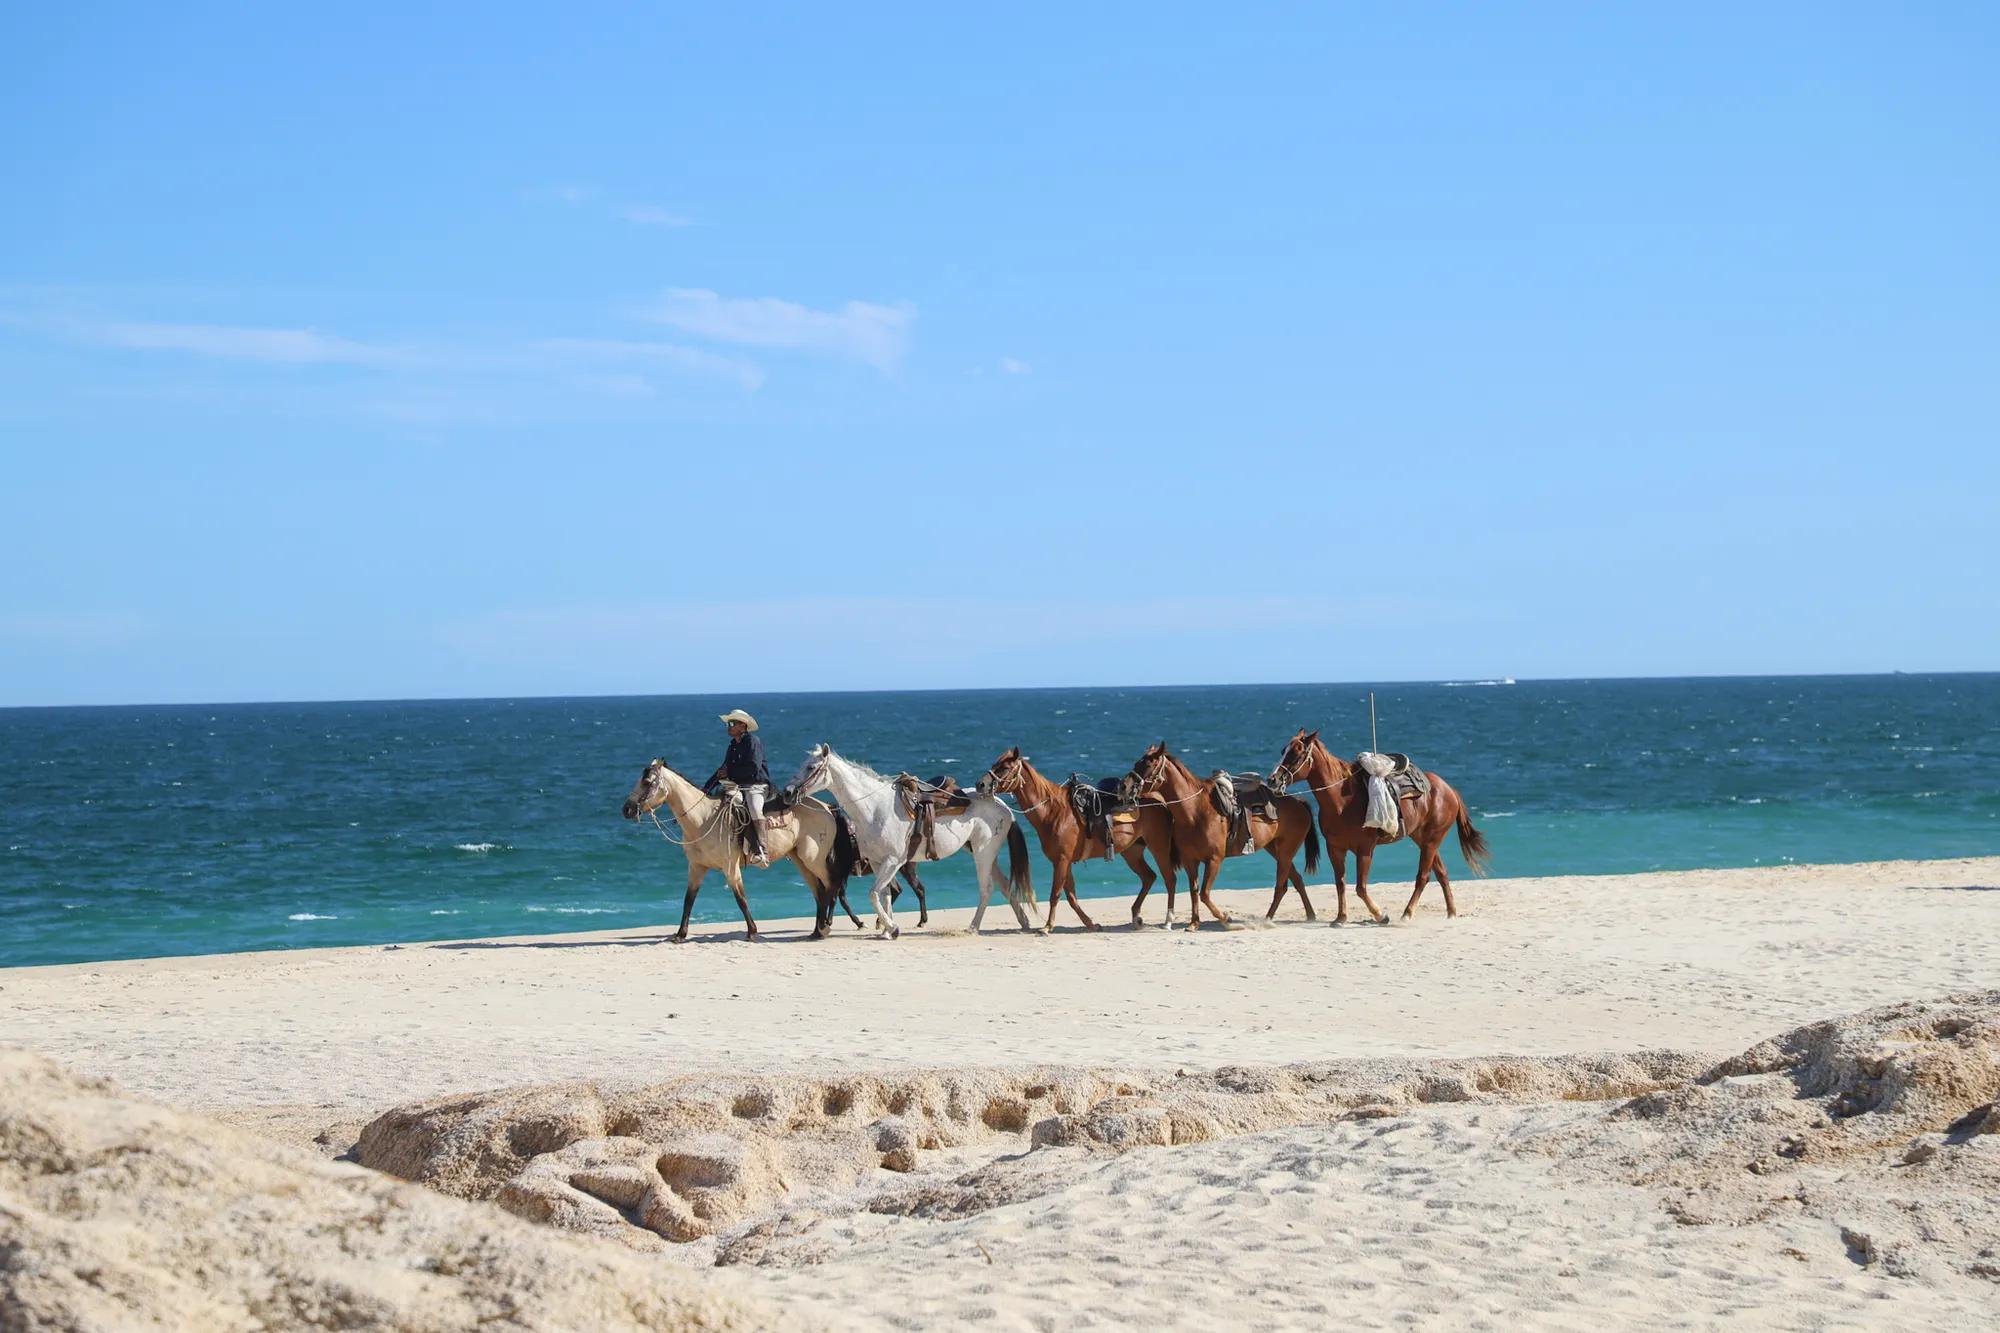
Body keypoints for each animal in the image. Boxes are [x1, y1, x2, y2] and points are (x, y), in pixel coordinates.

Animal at [621, 757, 861, 941]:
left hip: (814, 859)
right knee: (819, 891)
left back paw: (826, 926)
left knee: (831, 886)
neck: (703, 819)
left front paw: (752, 931)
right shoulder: (696, 867)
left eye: (647, 782)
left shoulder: (730, 867)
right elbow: (688, 899)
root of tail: (827, 807)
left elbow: (741, 898)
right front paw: (680, 934)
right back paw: (816, 931)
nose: (627, 809)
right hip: (801, 860)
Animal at [785, 744, 1035, 939]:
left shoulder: (893, 861)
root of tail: (1002, 805)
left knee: (987, 888)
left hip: (983, 853)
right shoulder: (878, 862)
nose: (788, 792)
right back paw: (1023, 922)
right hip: (982, 853)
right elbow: (884, 895)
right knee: (1004, 885)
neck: (875, 808)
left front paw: (892, 928)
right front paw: (886, 931)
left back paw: (973, 927)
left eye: (810, 767)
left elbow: (874, 894)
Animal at [977, 747, 1182, 931]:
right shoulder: (1064, 862)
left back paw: (1168, 921)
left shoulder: (1061, 861)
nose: (980, 784)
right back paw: (1136, 916)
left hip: (1159, 848)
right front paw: (1090, 924)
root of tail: (1160, 801)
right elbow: (1071, 896)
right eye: (995, 764)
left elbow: (1055, 894)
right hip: (1132, 852)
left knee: (1169, 879)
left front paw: (1047, 926)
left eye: (1004, 767)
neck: (1054, 812)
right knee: (1149, 877)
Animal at [1122, 743, 1321, 929]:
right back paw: (1309, 915)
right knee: (1296, 879)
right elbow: (1194, 891)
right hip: (1276, 850)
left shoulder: (1214, 860)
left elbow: (1204, 893)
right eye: (1137, 763)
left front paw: (1227, 919)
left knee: (1281, 886)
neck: (1195, 810)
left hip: (1286, 851)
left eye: (1149, 764)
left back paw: (1267, 920)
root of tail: (1299, 801)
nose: (1124, 786)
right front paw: (1194, 924)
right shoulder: (1189, 861)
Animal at [1268, 728, 1490, 922]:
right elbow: (1340, 883)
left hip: (1432, 840)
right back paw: (1451, 912)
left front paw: (1380, 915)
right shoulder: (1335, 848)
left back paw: (1407, 913)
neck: (1341, 801)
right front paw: (1341, 917)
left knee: (1423, 876)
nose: (1272, 780)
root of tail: (1449, 788)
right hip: (1423, 838)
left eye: (1296, 753)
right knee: (1441, 873)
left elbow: (1361, 887)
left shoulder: (1365, 849)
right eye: (1283, 751)